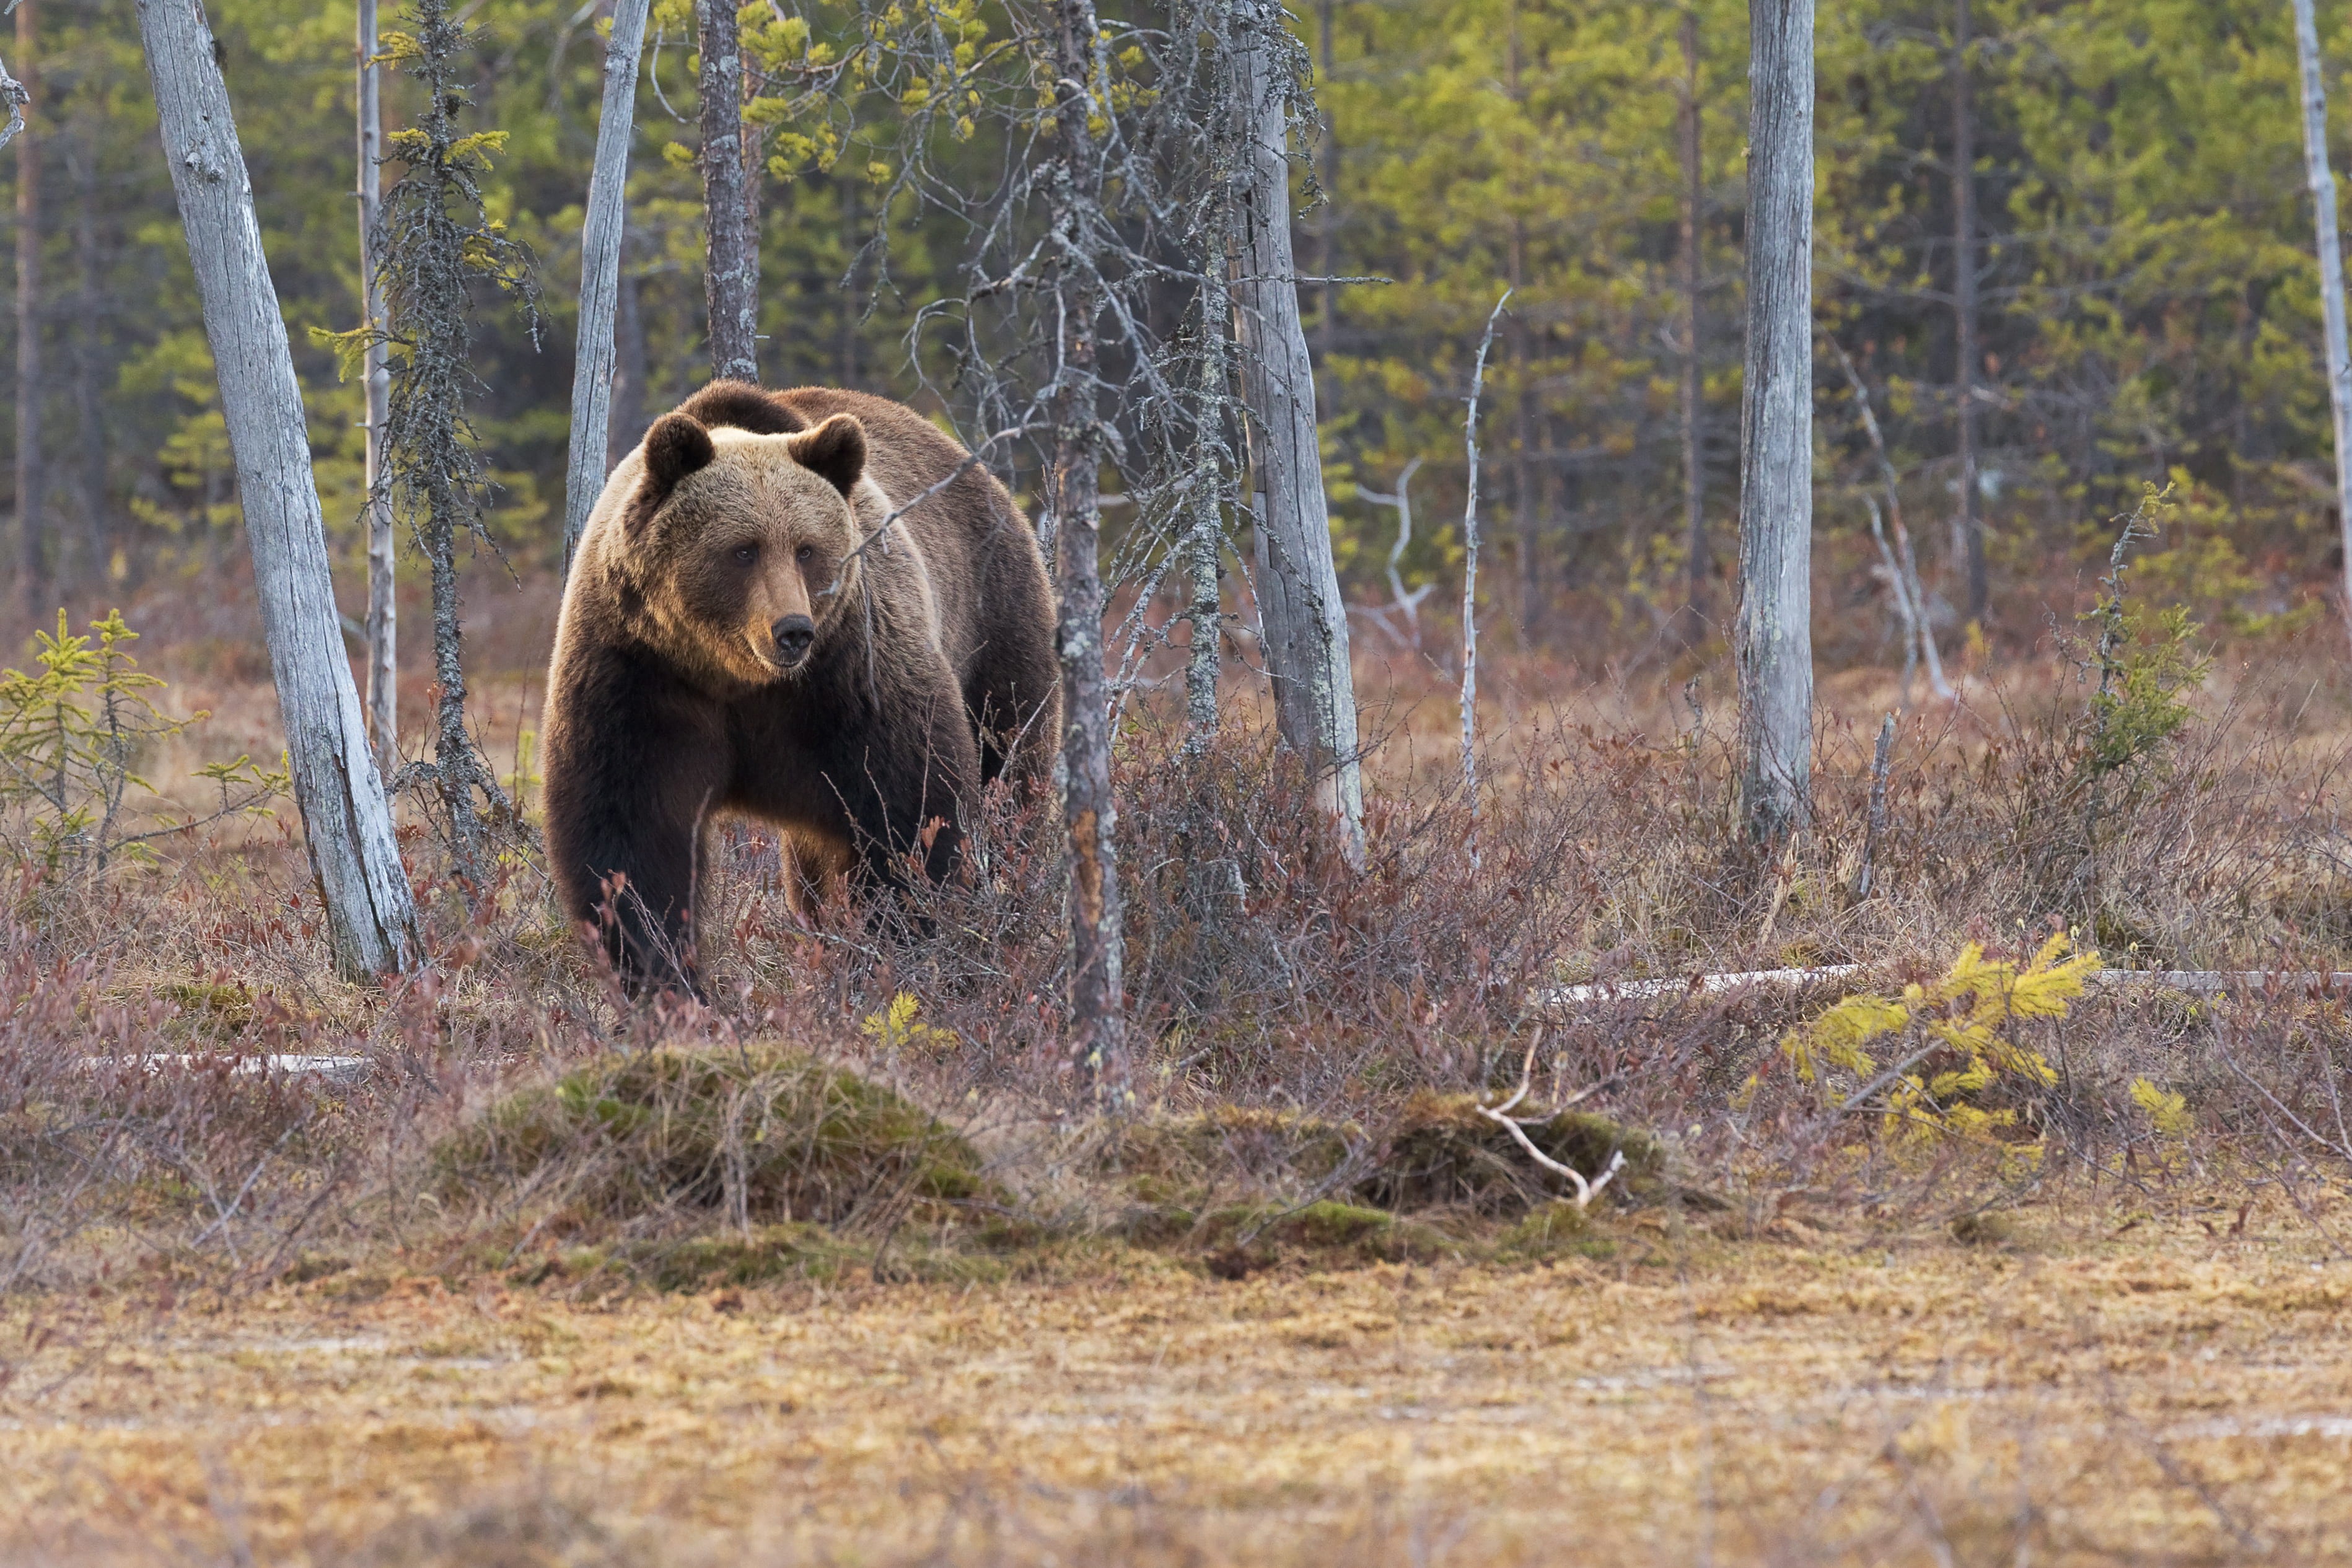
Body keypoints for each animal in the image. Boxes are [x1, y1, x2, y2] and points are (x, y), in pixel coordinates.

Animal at [542, 379, 1061, 994]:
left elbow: (910, 811)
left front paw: (894, 951)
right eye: (743, 549)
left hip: (994, 626)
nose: (792, 630)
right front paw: (665, 978)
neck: (736, 676)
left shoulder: (852, 674)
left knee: (1009, 777)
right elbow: (630, 836)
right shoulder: (638, 673)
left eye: (807, 548)